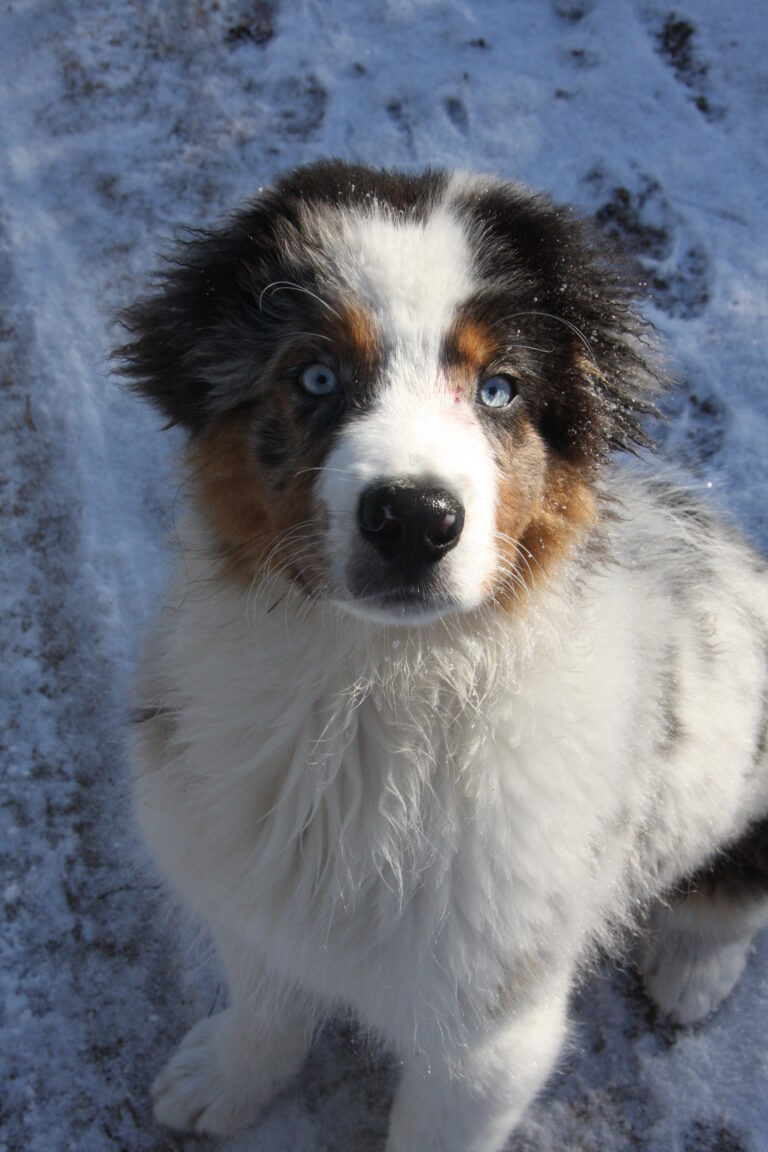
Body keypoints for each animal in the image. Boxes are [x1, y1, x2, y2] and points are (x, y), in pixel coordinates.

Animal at [120, 164, 768, 1152]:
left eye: (500, 389)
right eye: (316, 375)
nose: (414, 519)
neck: (373, 686)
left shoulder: (490, 1031)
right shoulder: (252, 882)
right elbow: (268, 999)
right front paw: (224, 1080)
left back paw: (693, 968)